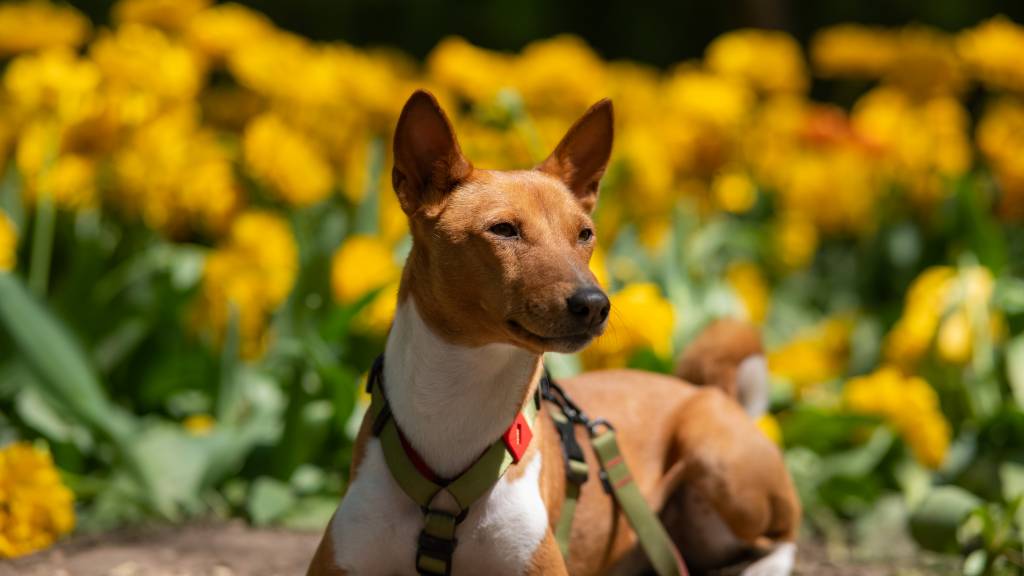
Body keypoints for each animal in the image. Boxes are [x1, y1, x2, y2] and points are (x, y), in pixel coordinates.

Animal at [307, 90, 802, 573]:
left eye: (584, 234)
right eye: (503, 229)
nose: (595, 304)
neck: (458, 405)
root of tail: (707, 390)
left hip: (718, 461)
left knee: (778, 538)